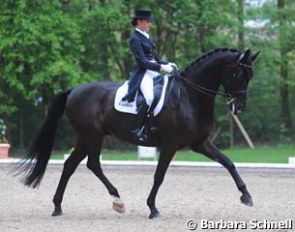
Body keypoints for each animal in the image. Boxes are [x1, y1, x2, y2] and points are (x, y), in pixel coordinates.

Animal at [15, 47, 260, 219]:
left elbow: (228, 162)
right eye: (238, 74)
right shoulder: (170, 145)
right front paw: (152, 208)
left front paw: (246, 196)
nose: (239, 107)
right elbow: (159, 176)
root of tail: (74, 90)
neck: (189, 96)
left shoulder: (200, 143)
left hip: (86, 137)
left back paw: (58, 206)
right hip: (93, 136)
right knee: (93, 164)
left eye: (250, 77)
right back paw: (118, 201)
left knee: (70, 165)